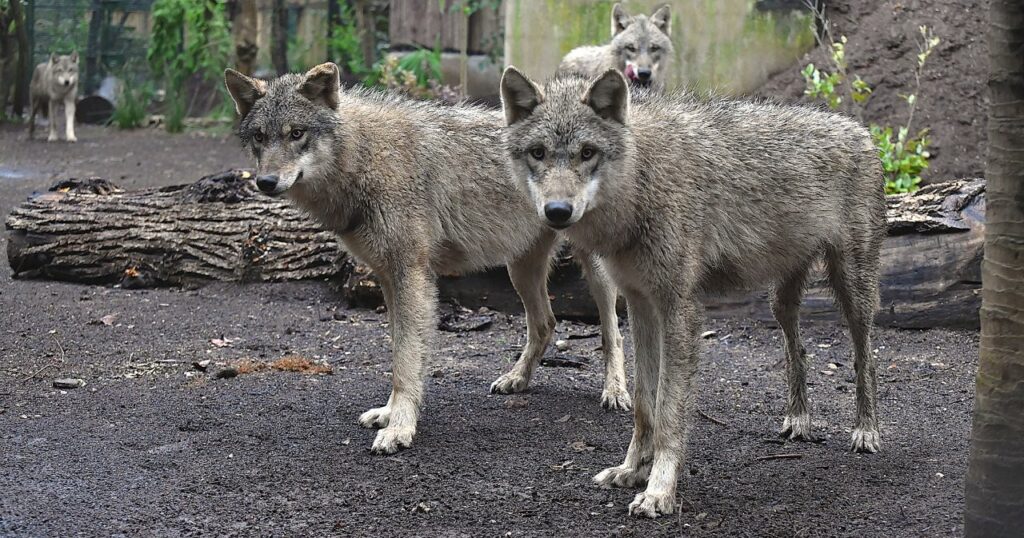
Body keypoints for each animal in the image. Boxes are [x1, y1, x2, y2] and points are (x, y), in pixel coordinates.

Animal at [223, 63, 630, 455]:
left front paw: (400, 428)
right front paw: (390, 414)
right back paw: (517, 378)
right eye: (259, 136)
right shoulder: (389, 278)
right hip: (520, 269)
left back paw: (615, 392)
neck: (365, 157)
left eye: (296, 133)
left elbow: (406, 360)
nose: (266, 182)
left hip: (593, 270)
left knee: (611, 330)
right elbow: (402, 355)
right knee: (546, 323)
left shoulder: (412, 274)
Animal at [499, 67, 885, 518]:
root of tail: (861, 130)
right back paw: (799, 421)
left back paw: (866, 431)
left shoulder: (679, 308)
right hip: (781, 301)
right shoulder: (639, 303)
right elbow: (644, 404)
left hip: (854, 290)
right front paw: (631, 470)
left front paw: (658, 491)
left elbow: (669, 411)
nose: (557, 211)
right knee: (798, 350)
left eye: (587, 152)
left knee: (865, 357)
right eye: (538, 153)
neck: (643, 181)